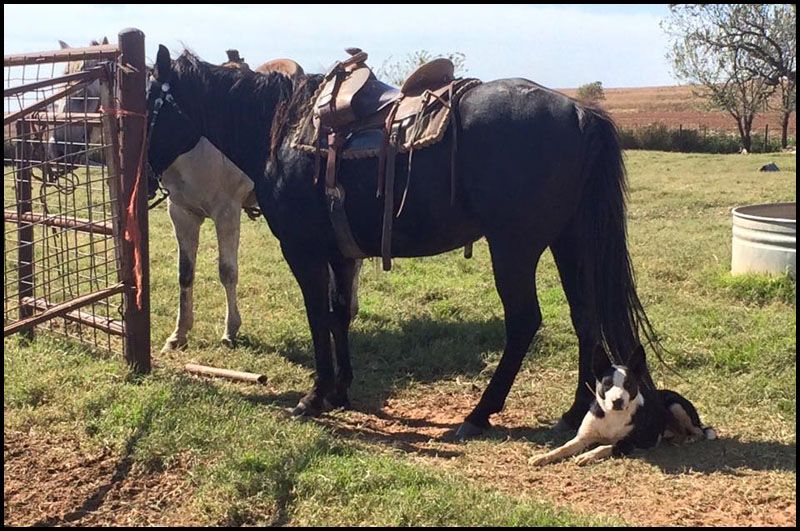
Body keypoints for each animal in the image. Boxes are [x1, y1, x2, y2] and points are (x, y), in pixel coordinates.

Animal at [532, 344, 712, 466]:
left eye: (629, 384)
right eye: (607, 384)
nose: (617, 401)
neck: (613, 416)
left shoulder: (635, 442)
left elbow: (607, 446)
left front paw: (588, 455)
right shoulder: (582, 438)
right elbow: (563, 447)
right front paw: (543, 456)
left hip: (676, 406)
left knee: (699, 431)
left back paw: (690, 438)